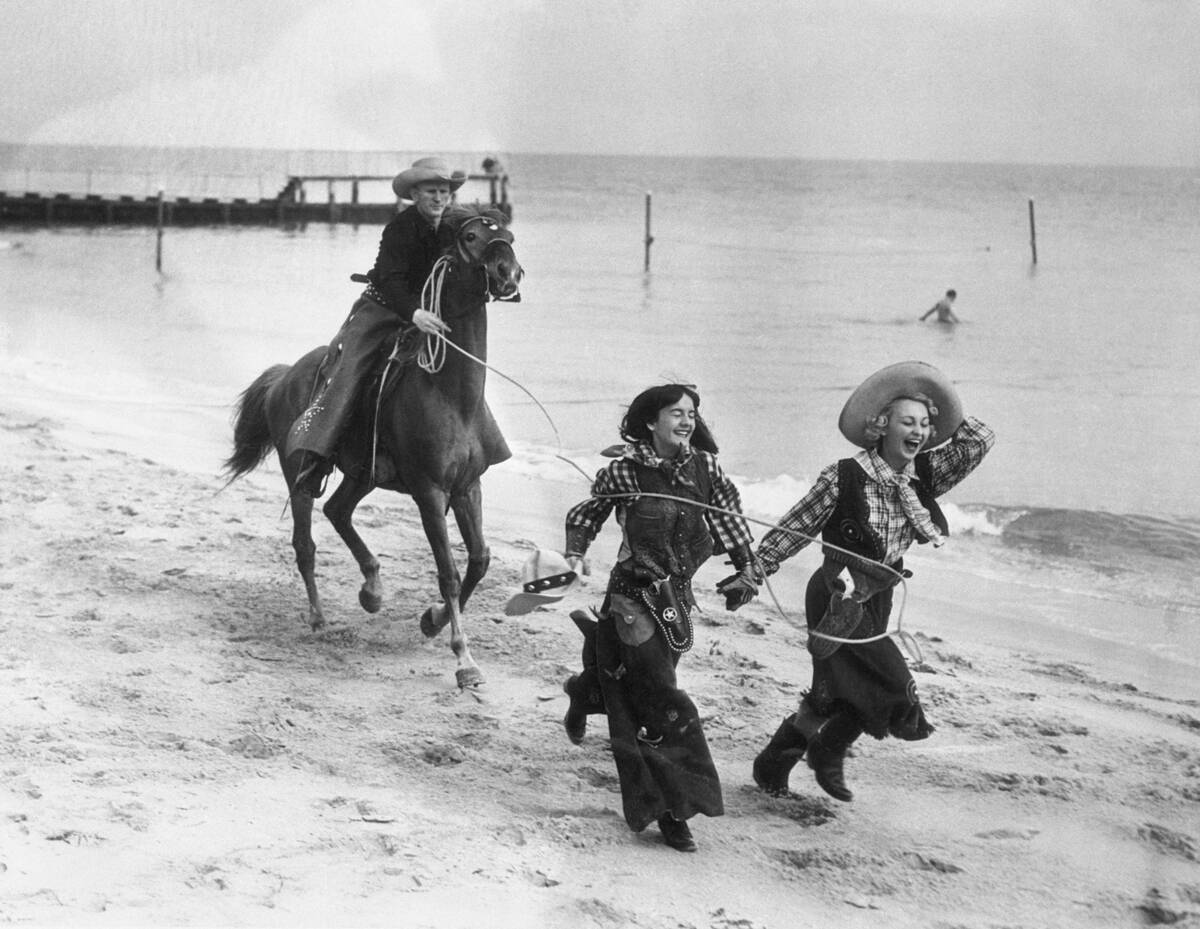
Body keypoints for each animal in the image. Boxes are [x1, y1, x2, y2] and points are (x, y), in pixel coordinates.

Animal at [223, 211, 523, 691]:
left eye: (509, 236)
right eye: (471, 236)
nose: (508, 273)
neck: (451, 395)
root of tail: (284, 376)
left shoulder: (467, 487)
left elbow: (479, 561)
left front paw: (432, 620)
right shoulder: (429, 492)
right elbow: (449, 573)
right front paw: (464, 659)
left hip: (362, 474)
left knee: (338, 511)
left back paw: (372, 591)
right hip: (300, 475)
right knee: (305, 544)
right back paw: (320, 619)